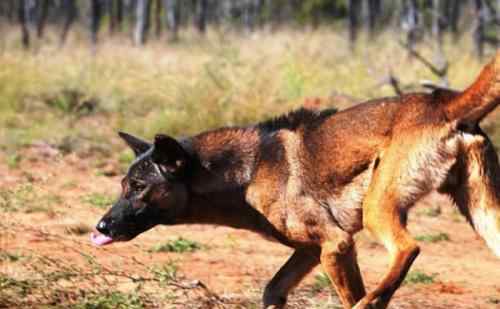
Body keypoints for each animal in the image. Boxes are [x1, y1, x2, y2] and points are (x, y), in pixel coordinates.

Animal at [91, 51, 500, 306]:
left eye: (139, 187)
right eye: (123, 186)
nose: (100, 227)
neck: (248, 171)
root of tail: (445, 101)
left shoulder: (336, 245)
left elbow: (349, 294)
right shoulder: (310, 252)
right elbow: (272, 290)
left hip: (378, 209)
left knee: (407, 249)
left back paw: (374, 298)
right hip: (483, 216)